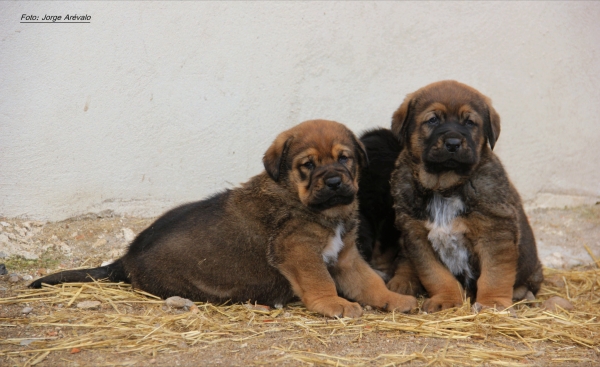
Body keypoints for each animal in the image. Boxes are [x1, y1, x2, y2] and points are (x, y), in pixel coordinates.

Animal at [31, 119, 418, 318]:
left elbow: (370, 283)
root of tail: (124, 259)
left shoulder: (346, 256)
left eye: (345, 158)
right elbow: (320, 282)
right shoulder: (300, 253)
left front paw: (394, 299)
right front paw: (334, 304)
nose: (336, 182)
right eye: (307, 165)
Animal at [386, 81, 548, 314]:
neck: (445, 186)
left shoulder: (495, 233)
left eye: (470, 122)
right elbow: (435, 275)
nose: (453, 143)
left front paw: (493, 303)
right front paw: (445, 298)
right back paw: (403, 281)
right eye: (433, 120)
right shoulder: (416, 236)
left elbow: (495, 275)